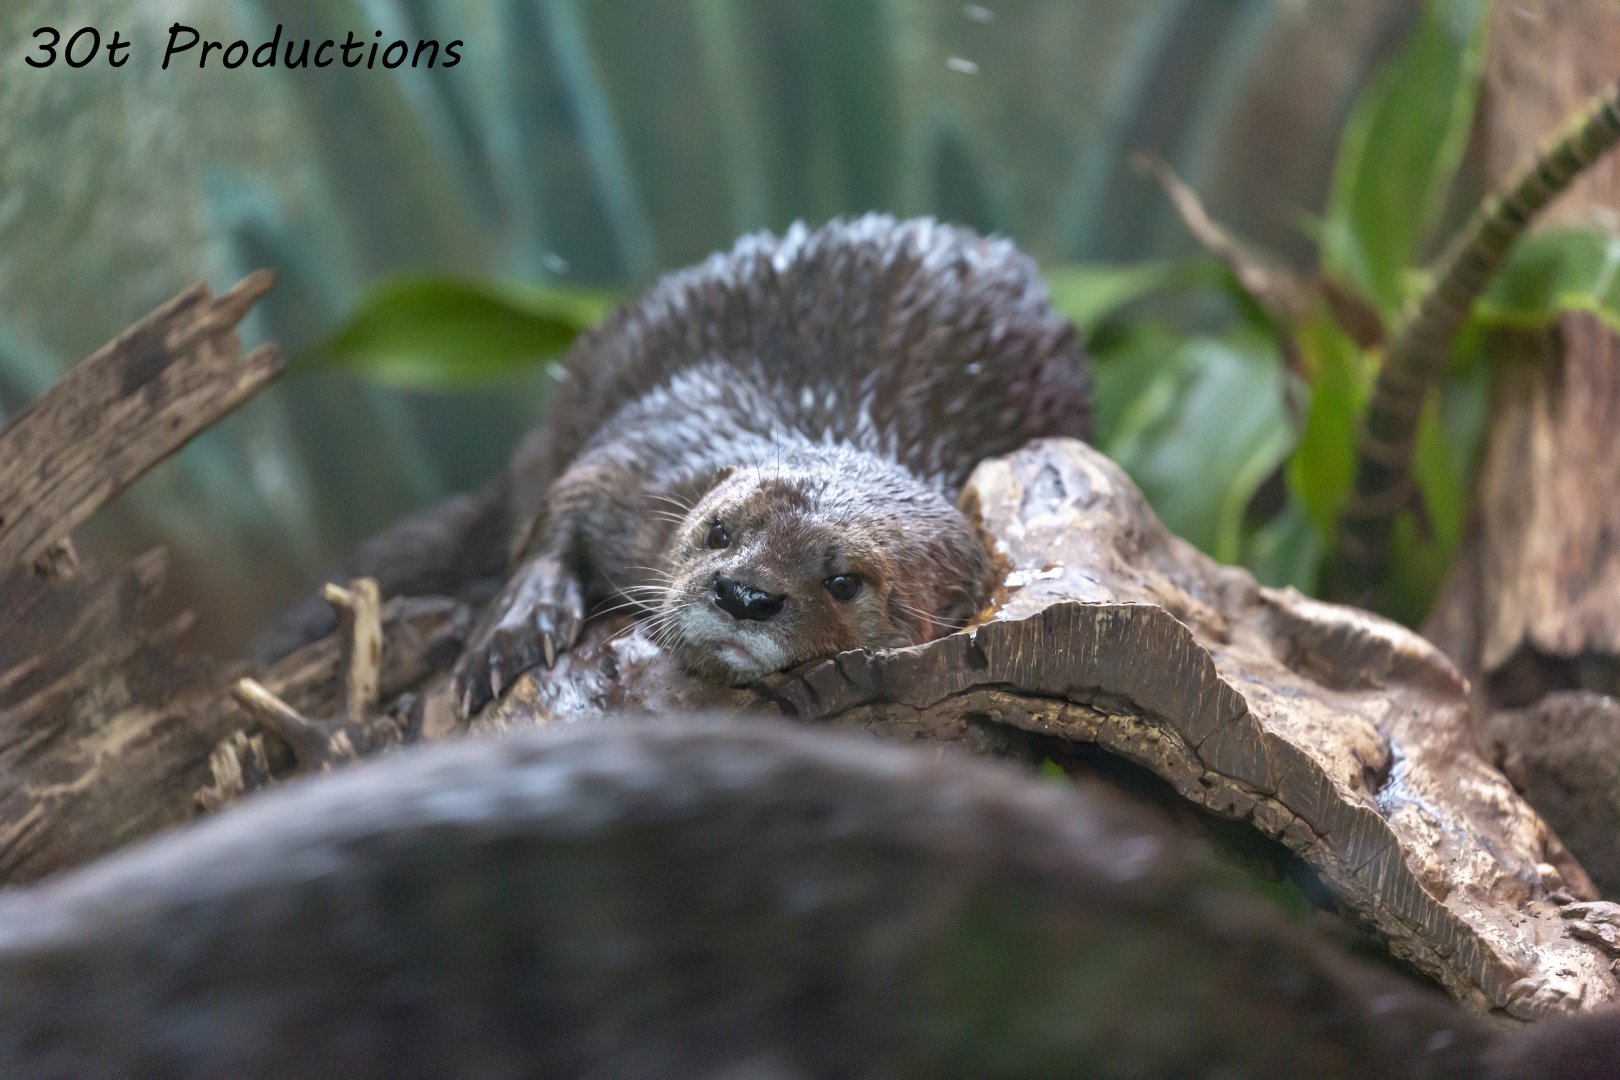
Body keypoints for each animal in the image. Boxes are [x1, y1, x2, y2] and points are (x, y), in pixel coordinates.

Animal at [454, 215, 1091, 716]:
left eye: (843, 582)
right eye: (718, 530)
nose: (744, 595)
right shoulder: (651, 452)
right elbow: (563, 507)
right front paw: (512, 630)